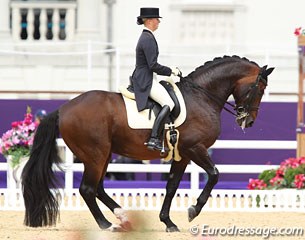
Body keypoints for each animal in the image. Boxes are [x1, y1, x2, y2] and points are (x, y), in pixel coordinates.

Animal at [21, 55, 274, 232]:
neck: (201, 97)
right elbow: (214, 175)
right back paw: (107, 225)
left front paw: (168, 222)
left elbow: (172, 186)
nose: (248, 121)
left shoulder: (183, 154)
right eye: (260, 88)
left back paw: (123, 217)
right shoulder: (195, 148)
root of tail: (64, 108)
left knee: (98, 188)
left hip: (103, 155)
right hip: (95, 154)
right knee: (87, 189)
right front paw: (193, 210)